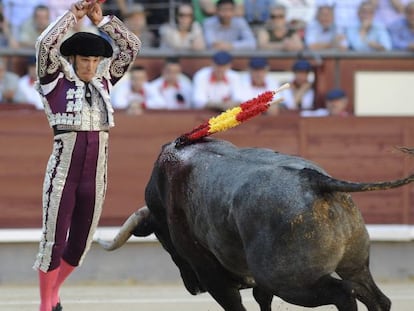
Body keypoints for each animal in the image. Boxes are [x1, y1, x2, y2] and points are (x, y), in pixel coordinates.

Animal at [98, 140, 414, 311]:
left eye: (163, 239)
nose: (193, 289)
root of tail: (315, 180)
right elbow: (262, 299)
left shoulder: (211, 273)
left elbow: (235, 303)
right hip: (355, 263)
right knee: (376, 297)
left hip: (291, 281)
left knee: (345, 293)